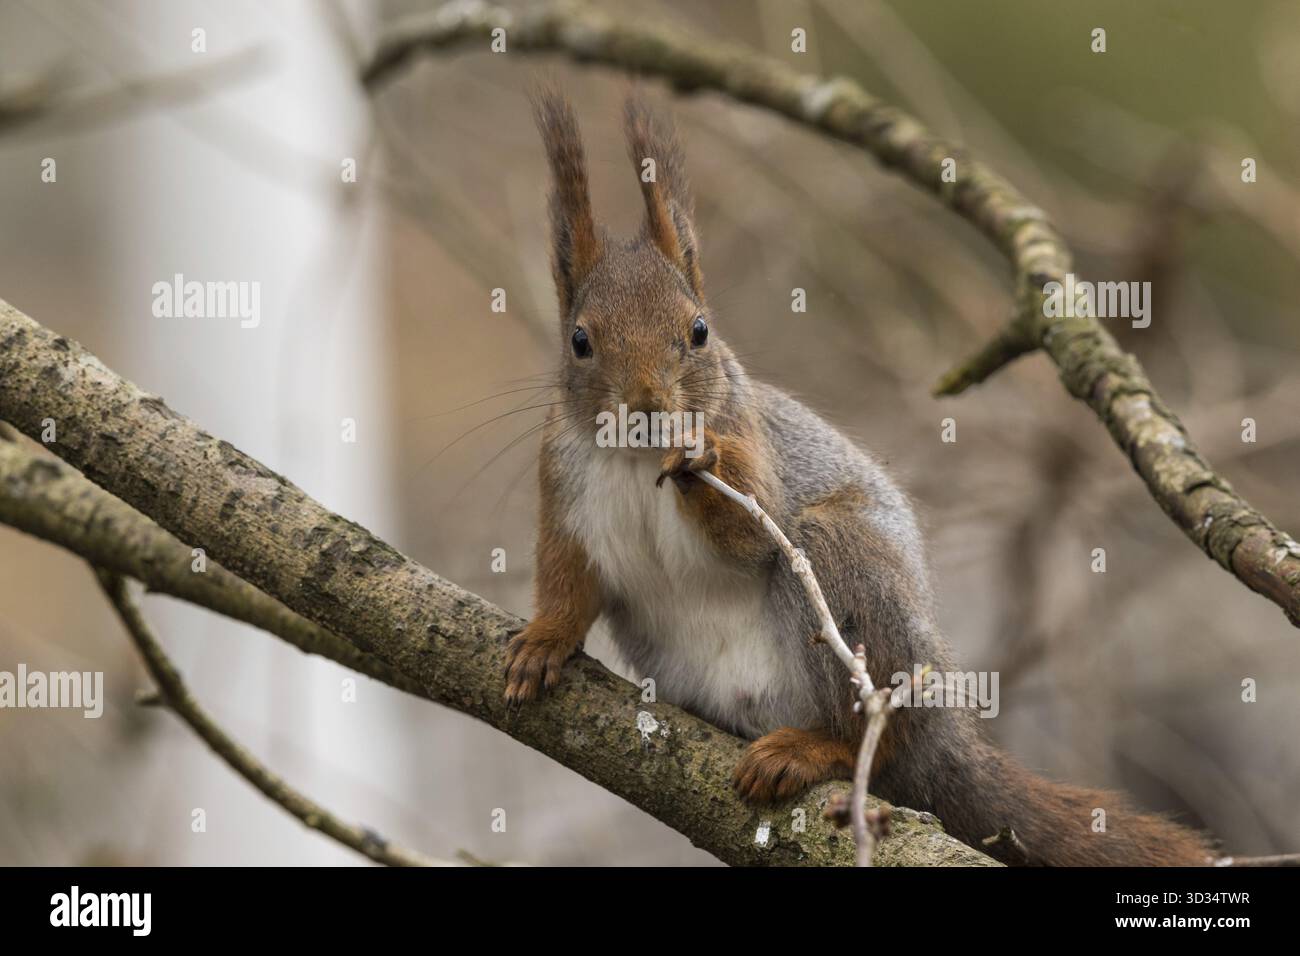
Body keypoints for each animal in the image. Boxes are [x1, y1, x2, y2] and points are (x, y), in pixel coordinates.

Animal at [503, 88, 1213, 867]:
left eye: (699, 331)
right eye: (579, 340)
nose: (649, 409)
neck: (635, 463)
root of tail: (944, 740)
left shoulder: (757, 448)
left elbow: (752, 530)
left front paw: (700, 460)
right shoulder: (561, 491)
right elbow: (567, 577)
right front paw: (543, 643)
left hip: (849, 575)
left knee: (875, 736)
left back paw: (812, 750)